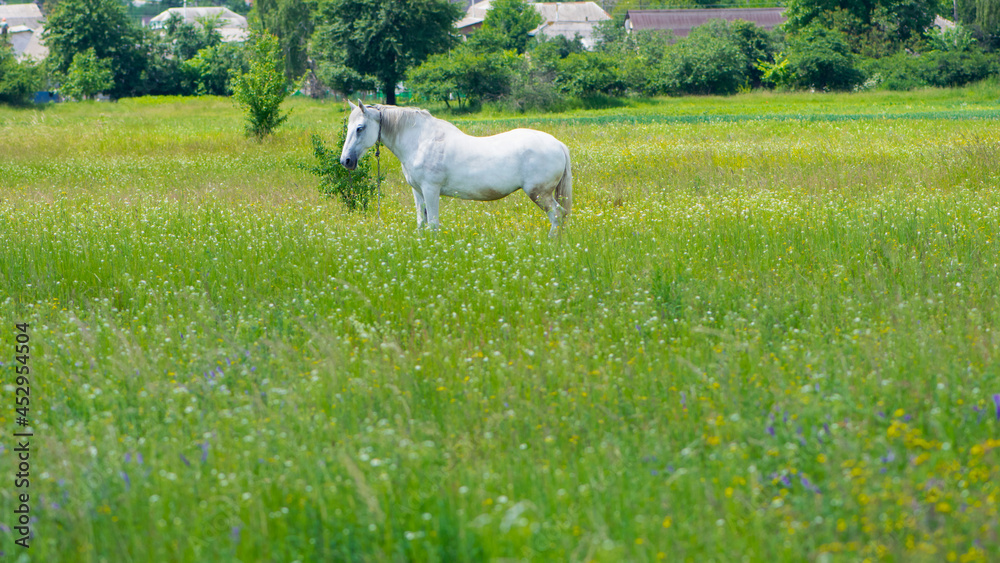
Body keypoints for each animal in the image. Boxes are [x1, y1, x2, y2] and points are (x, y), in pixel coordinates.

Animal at [339, 100, 572, 236]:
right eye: (349, 127)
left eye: (360, 128)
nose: (346, 161)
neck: (420, 141)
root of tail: (558, 144)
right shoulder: (418, 191)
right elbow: (421, 222)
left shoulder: (431, 190)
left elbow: (433, 224)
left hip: (539, 194)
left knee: (557, 216)